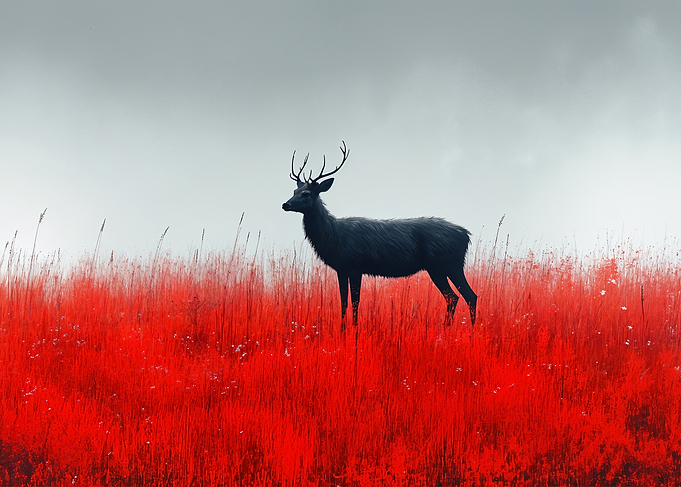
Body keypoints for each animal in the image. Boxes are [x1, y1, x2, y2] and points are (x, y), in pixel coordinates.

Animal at [282, 141, 477, 330]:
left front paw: (355, 331)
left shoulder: (355, 265)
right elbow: (344, 302)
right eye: (294, 191)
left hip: (447, 264)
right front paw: (343, 330)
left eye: (306, 193)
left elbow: (355, 301)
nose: (285, 204)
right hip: (441, 267)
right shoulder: (341, 268)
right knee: (455, 297)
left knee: (467, 296)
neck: (333, 237)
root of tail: (466, 235)